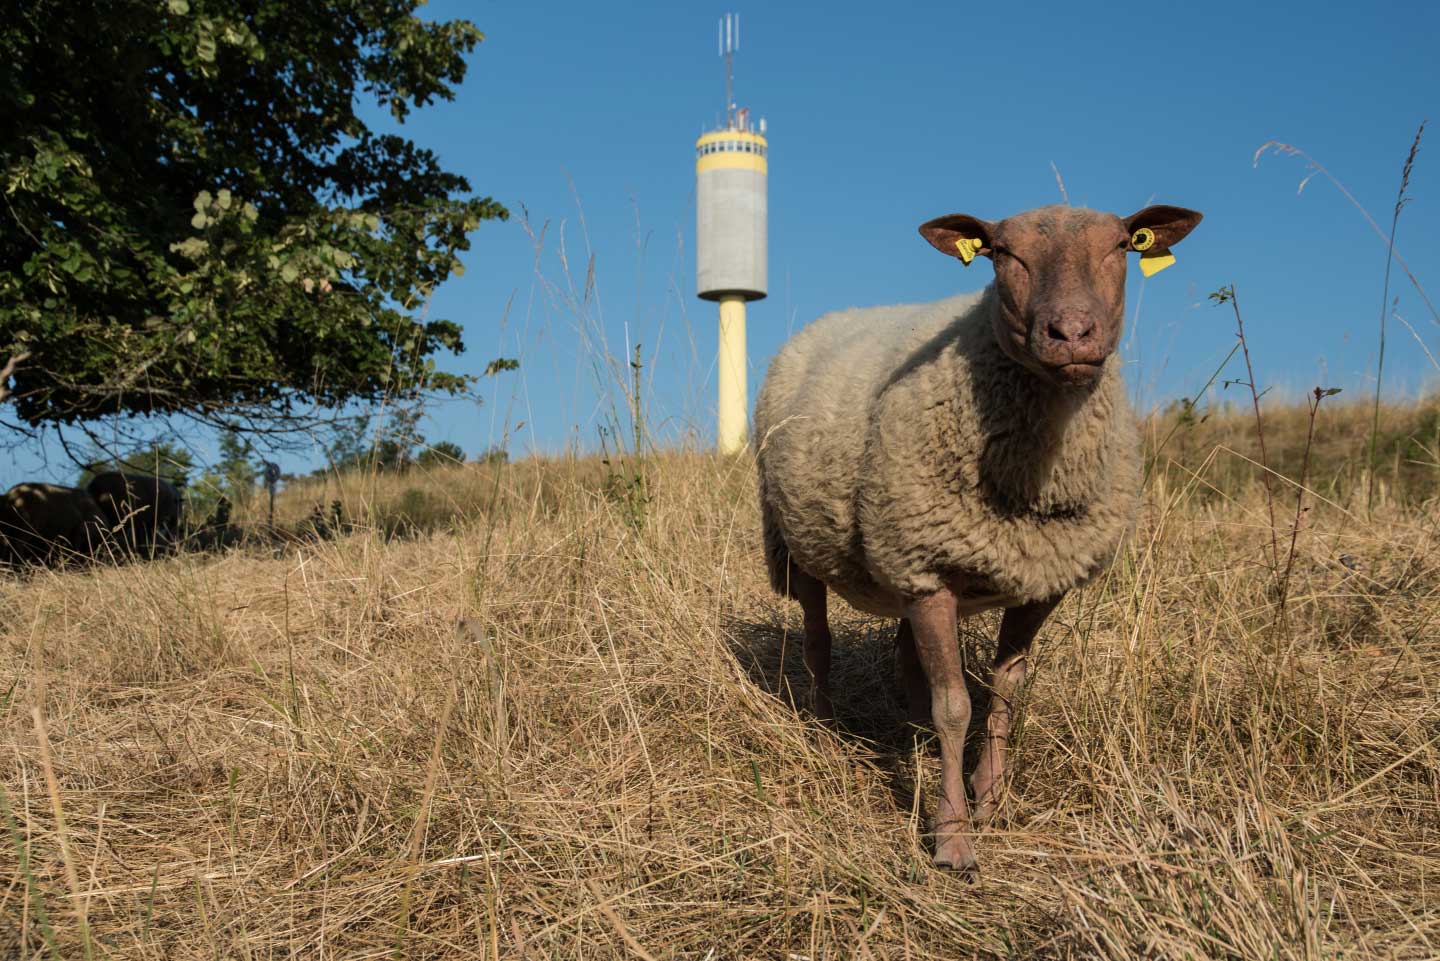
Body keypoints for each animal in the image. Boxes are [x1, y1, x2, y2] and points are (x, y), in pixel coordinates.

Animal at [754, 201, 1203, 870]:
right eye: (1001, 254)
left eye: (1122, 245)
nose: (1071, 333)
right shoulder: (929, 569)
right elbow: (955, 706)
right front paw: (952, 837)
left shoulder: (1038, 580)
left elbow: (1005, 693)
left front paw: (988, 800)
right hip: (801, 545)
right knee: (818, 644)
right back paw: (826, 736)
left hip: (897, 566)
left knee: (907, 659)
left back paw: (913, 741)